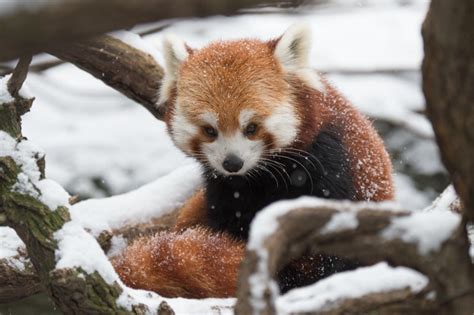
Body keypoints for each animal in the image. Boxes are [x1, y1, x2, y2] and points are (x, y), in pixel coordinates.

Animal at [111, 23, 392, 300]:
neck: (258, 177)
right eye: (209, 130)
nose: (232, 163)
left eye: (252, 128)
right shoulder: (224, 190)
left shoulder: (329, 162)